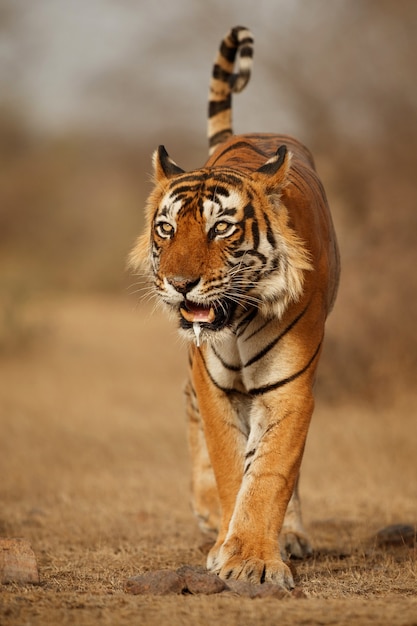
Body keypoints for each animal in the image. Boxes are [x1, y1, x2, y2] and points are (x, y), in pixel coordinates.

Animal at [129, 25, 338, 588]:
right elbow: (229, 464)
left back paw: (289, 535)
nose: (180, 283)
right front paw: (229, 542)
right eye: (166, 229)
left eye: (221, 228)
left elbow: (269, 472)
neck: (239, 318)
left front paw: (252, 559)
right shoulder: (213, 382)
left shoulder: (290, 386)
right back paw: (208, 514)